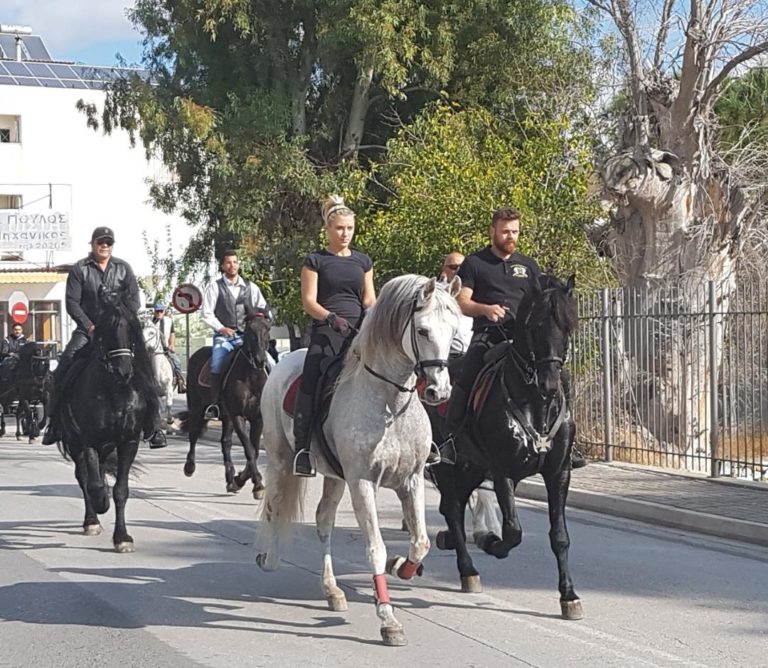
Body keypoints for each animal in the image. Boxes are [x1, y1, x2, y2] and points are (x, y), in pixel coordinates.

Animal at [56, 290, 156, 552]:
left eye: (130, 328)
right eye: (107, 329)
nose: (124, 370)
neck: (115, 391)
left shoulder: (128, 442)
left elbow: (120, 490)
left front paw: (122, 537)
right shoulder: (88, 440)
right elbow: (94, 485)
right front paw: (101, 504)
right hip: (75, 443)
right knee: (85, 477)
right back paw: (91, 520)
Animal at [181, 310, 272, 498]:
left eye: (267, 329)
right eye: (249, 330)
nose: (260, 360)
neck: (250, 376)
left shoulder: (257, 418)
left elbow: (255, 449)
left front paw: (241, 480)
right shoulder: (238, 416)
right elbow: (249, 449)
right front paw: (257, 484)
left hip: (226, 416)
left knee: (226, 443)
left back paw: (230, 479)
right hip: (197, 409)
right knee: (193, 435)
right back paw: (189, 467)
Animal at [258, 274, 462, 644]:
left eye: (454, 330)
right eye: (423, 330)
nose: (439, 392)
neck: (390, 405)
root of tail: (285, 361)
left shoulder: (411, 481)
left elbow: (420, 542)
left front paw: (402, 566)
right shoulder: (363, 482)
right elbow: (375, 548)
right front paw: (388, 619)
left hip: (334, 477)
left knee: (323, 521)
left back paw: (332, 590)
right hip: (282, 460)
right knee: (274, 507)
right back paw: (269, 557)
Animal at [432, 274, 584, 620]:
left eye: (569, 325)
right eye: (536, 324)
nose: (550, 383)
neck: (535, 403)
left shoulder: (558, 473)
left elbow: (560, 536)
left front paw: (568, 595)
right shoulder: (502, 471)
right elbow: (513, 531)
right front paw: (493, 543)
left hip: (471, 466)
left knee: (454, 506)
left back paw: (452, 543)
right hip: (446, 463)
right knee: (452, 508)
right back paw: (468, 569)